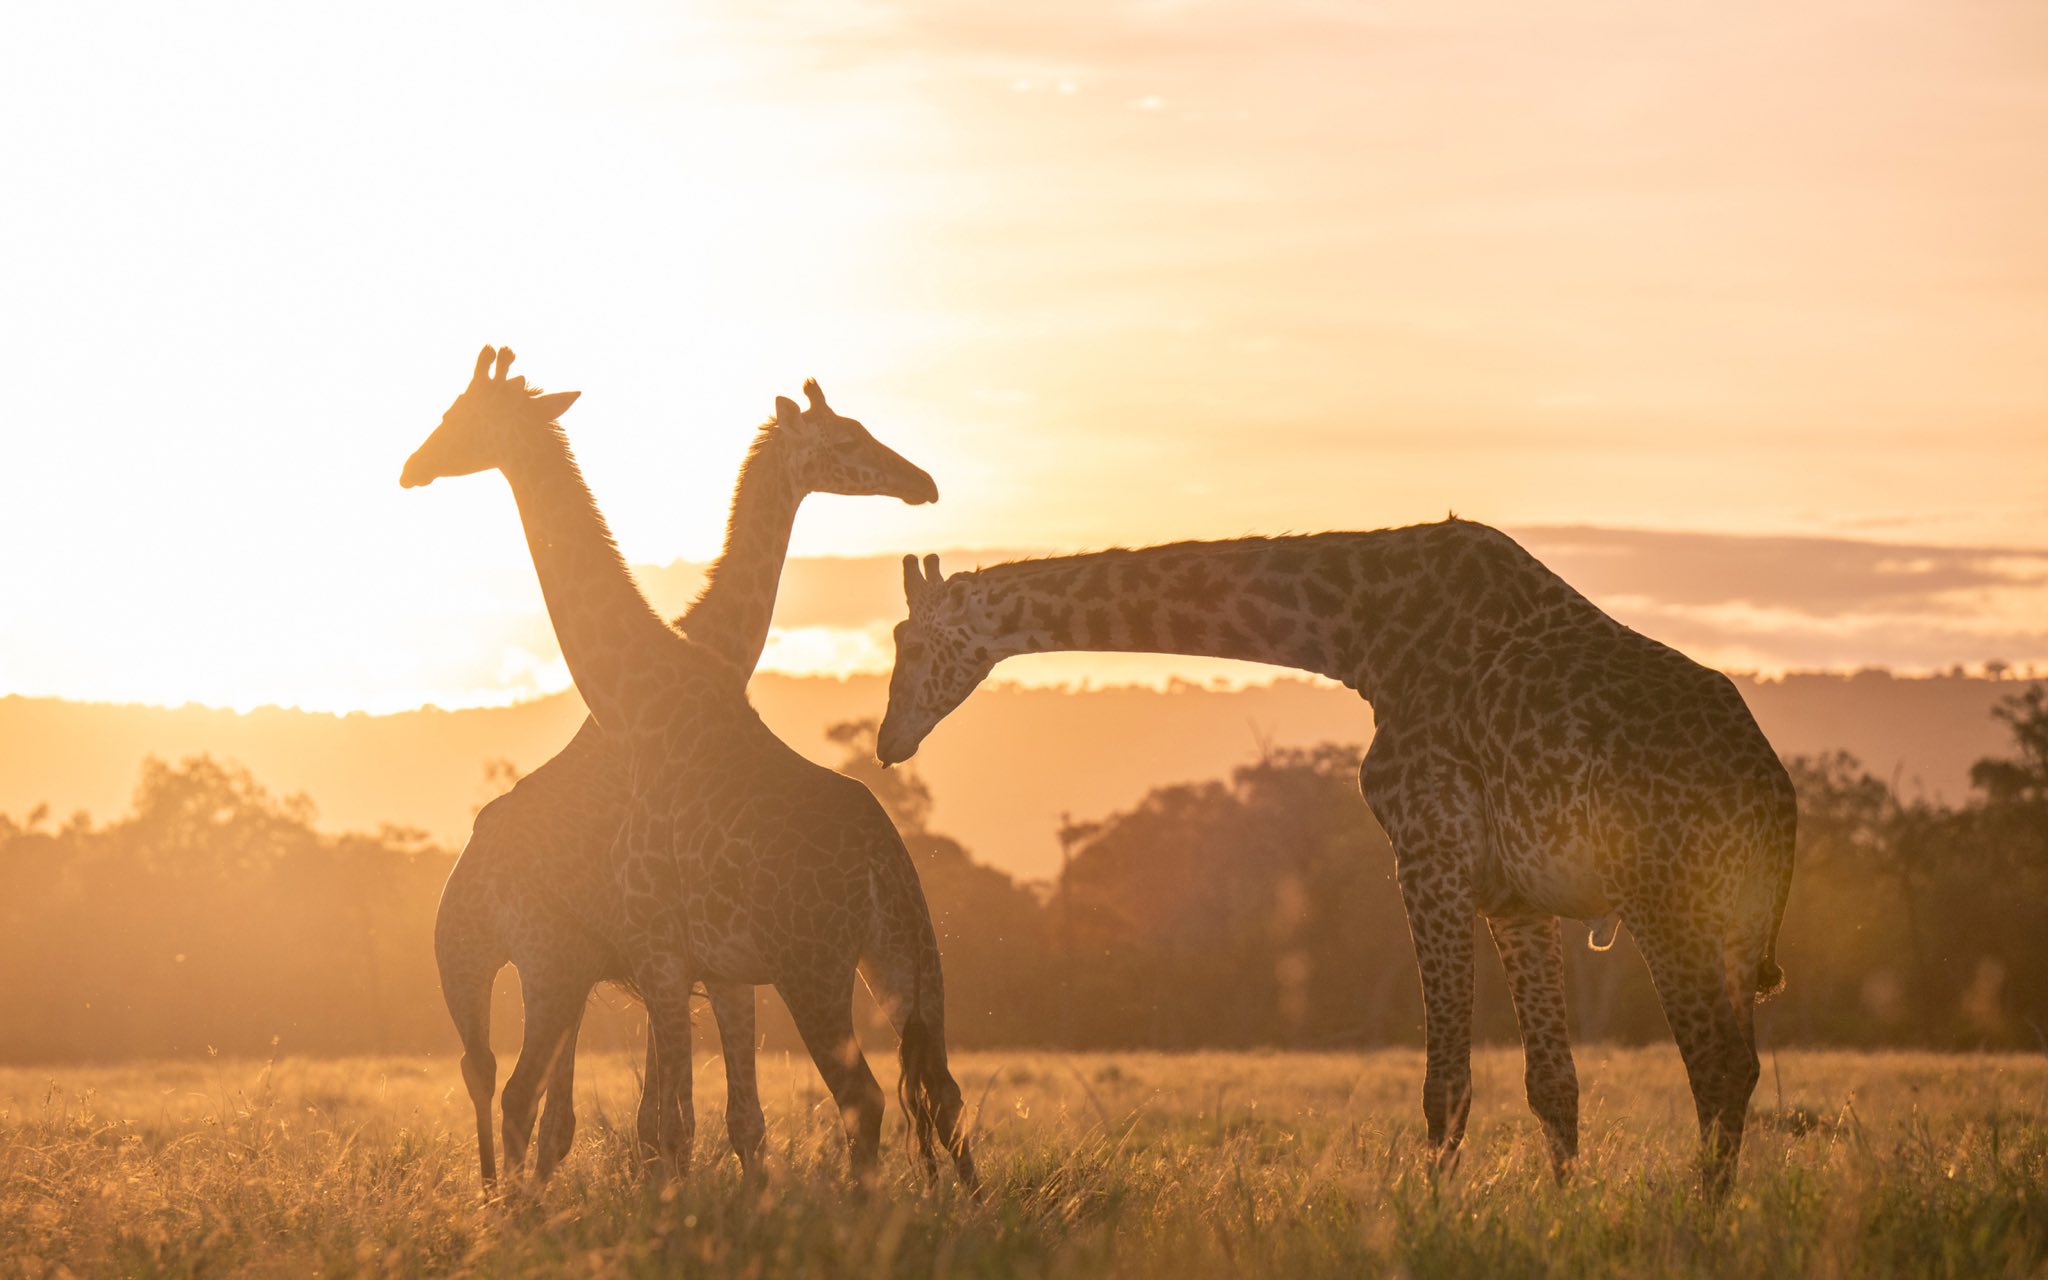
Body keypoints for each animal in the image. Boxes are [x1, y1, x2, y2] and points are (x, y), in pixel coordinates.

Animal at [403, 347, 976, 1187]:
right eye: (848, 438)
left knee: (868, 1099)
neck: (650, 697)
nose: (412, 467)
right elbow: (696, 1122)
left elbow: (677, 1125)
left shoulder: (671, 956)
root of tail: (886, 867)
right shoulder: (695, 966)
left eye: (457, 415)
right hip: (902, 964)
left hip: (795, 968)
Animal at [875, 525, 1795, 1195]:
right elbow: (1553, 1085)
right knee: (1736, 1068)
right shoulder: (1513, 893)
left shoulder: (1428, 850)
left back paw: (1702, 1223)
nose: (887, 742)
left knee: (1719, 1067)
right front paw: (1563, 1214)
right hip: (1723, 922)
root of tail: (1776, 800)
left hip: (1670, 906)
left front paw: (1430, 1221)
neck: (1361, 636)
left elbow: (1447, 1084)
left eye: (910, 644)